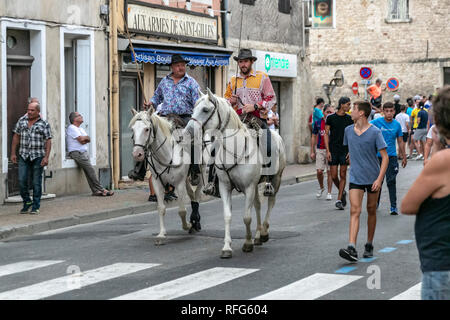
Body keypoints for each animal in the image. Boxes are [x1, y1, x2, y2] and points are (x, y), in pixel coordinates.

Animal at [130, 108, 204, 245]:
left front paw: (188, 225)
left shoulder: (179, 183)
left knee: (197, 195)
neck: (166, 153)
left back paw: (195, 222)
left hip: (201, 175)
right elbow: (161, 208)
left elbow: (182, 211)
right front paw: (161, 234)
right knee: (192, 195)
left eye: (147, 129)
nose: (137, 154)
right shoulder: (157, 182)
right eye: (133, 129)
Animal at [185, 89, 286, 258]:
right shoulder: (225, 187)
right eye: (193, 109)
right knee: (258, 206)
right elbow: (227, 216)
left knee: (271, 202)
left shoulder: (249, 187)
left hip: (276, 180)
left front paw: (247, 243)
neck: (236, 149)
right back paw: (258, 236)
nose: (188, 132)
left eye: (205, 109)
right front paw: (227, 247)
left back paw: (264, 232)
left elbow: (246, 217)